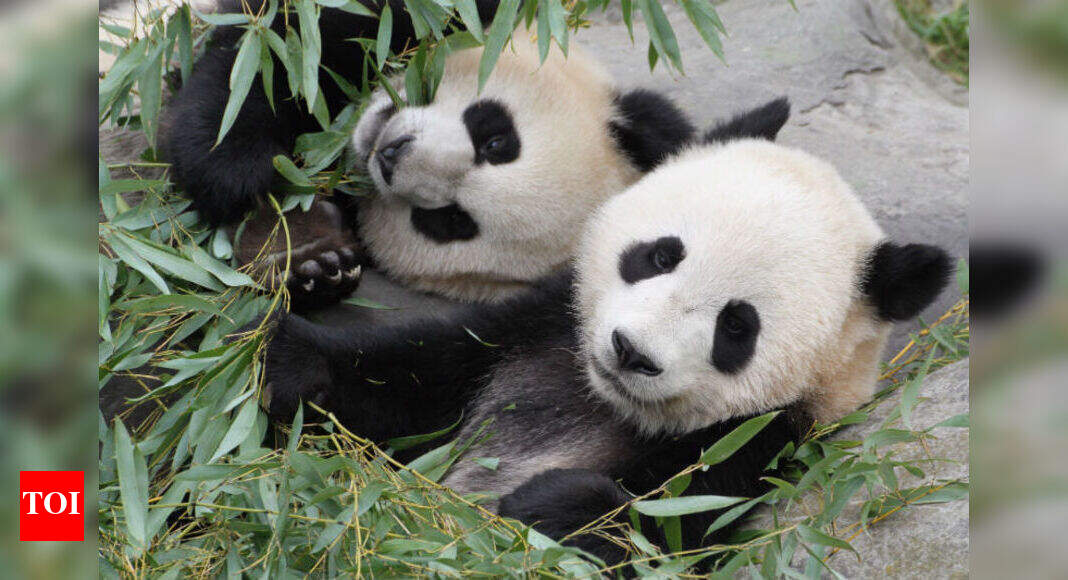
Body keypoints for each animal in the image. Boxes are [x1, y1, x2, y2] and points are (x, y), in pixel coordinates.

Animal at [163, 0, 788, 307]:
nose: (391, 153)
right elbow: (273, 51)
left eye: (450, 221)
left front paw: (317, 261)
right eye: (495, 140)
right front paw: (243, 173)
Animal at [260, 125, 953, 565]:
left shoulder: (758, 444)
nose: (630, 351)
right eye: (660, 255)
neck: (608, 402)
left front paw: (548, 506)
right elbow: (408, 381)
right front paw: (288, 362)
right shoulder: (537, 334)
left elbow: (667, 536)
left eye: (737, 326)